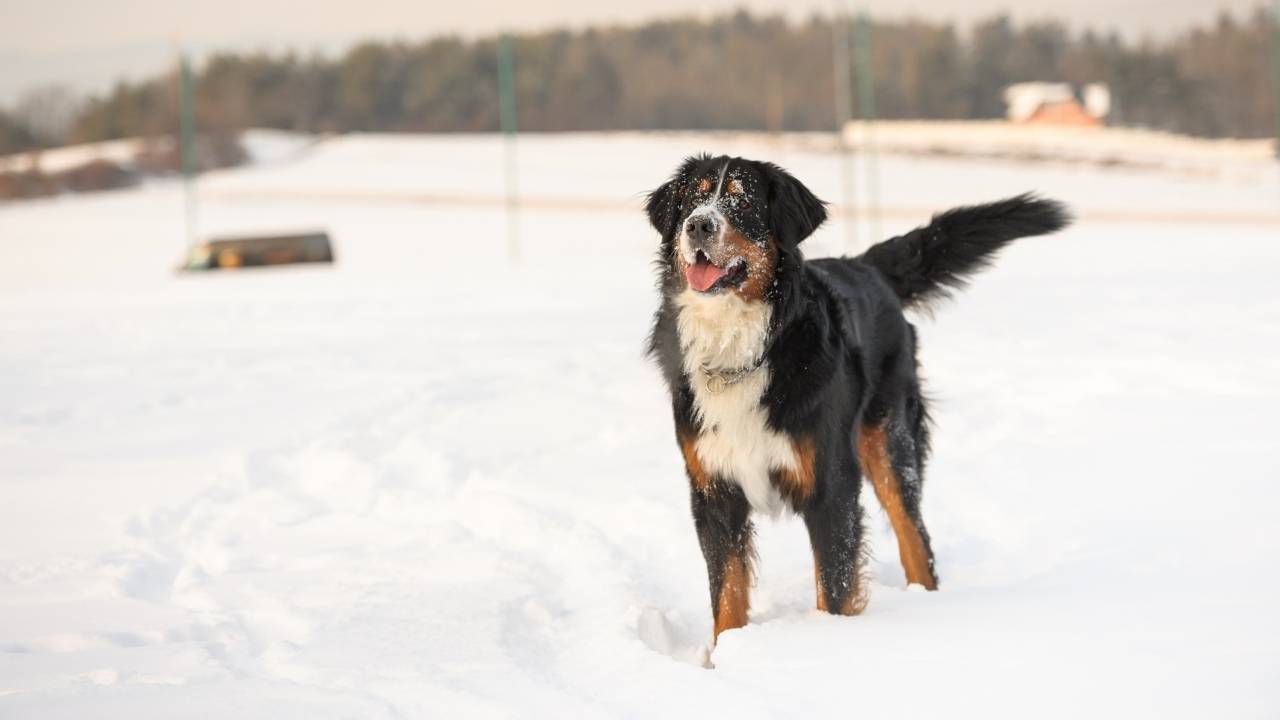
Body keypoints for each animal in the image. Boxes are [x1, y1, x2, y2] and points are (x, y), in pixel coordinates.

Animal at [640, 154, 1070, 640]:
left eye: (743, 201)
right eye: (691, 199)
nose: (698, 225)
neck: (744, 347)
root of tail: (867, 266)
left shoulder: (831, 486)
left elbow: (834, 589)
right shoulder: (714, 491)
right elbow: (727, 599)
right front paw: (727, 653)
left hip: (889, 443)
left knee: (916, 540)